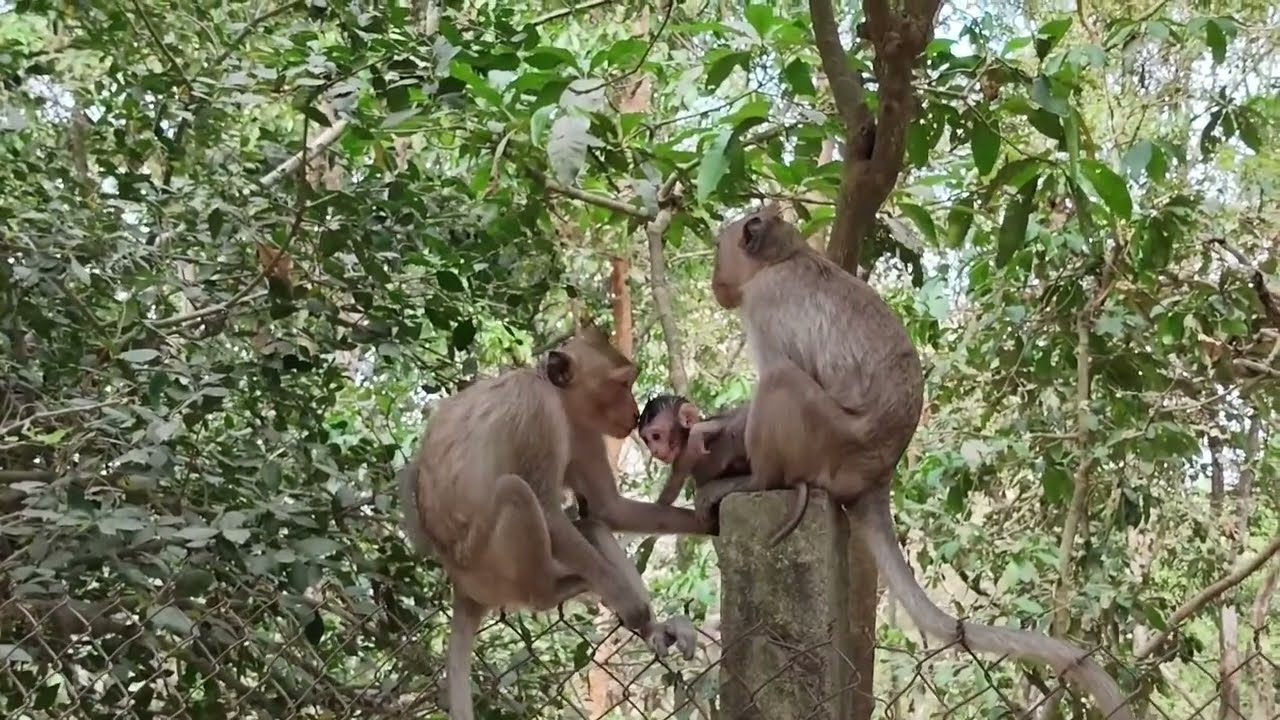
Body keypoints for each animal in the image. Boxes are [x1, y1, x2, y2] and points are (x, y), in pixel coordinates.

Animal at [399, 324, 714, 720]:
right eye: (622, 384)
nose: (634, 412)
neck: (556, 396)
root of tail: (462, 586)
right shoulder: (537, 413)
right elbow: (548, 508)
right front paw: (636, 610)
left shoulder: (582, 430)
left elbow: (608, 509)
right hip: (488, 566)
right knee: (516, 492)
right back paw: (555, 591)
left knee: (590, 527)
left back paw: (654, 629)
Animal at [709, 205, 1134, 720]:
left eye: (718, 248)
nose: (714, 279)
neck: (784, 257)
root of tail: (879, 473)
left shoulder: (764, 303)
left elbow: (775, 370)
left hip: (830, 441)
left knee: (782, 381)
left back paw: (758, 480)